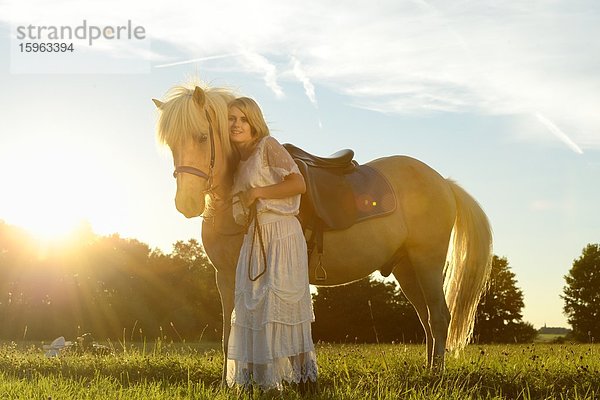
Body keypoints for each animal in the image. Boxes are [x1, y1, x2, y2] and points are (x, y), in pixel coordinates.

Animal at [154, 83, 492, 380]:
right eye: (171, 144)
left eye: (201, 137)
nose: (186, 203)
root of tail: (443, 181)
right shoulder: (225, 277)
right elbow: (229, 335)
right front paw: (232, 382)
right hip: (407, 268)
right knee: (426, 318)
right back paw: (428, 369)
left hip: (427, 262)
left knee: (439, 316)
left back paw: (436, 375)